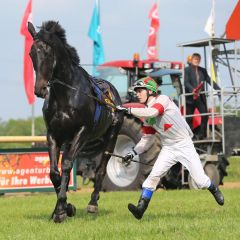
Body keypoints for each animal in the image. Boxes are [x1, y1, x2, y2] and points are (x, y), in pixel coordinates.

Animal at [28, 21, 124, 223]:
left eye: (47, 52)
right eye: (31, 53)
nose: (40, 89)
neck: (66, 94)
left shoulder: (82, 131)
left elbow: (66, 165)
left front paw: (61, 209)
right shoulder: (53, 134)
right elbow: (54, 172)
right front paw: (64, 207)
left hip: (111, 135)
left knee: (101, 168)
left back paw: (93, 202)